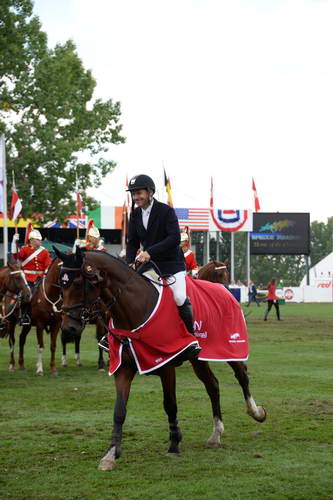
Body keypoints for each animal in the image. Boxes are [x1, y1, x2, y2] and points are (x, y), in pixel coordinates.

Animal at [53, 248, 264, 470]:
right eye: (61, 284)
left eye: (78, 283)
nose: (69, 328)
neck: (135, 309)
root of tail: (223, 292)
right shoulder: (123, 368)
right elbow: (119, 410)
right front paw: (111, 454)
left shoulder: (166, 366)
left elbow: (170, 404)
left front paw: (174, 444)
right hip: (198, 359)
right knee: (213, 386)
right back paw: (216, 433)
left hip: (229, 349)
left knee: (242, 376)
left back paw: (256, 412)